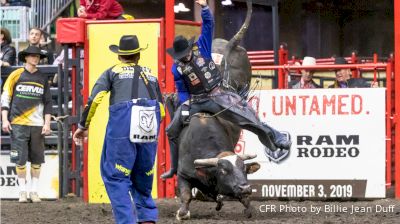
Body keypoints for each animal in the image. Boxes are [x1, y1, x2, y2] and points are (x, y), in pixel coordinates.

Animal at [166, 0, 262, 220]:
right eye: (224, 171)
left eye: (244, 169)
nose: (245, 187)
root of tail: (228, 46)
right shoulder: (184, 173)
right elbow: (185, 194)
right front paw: (182, 212)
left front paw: (247, 206)